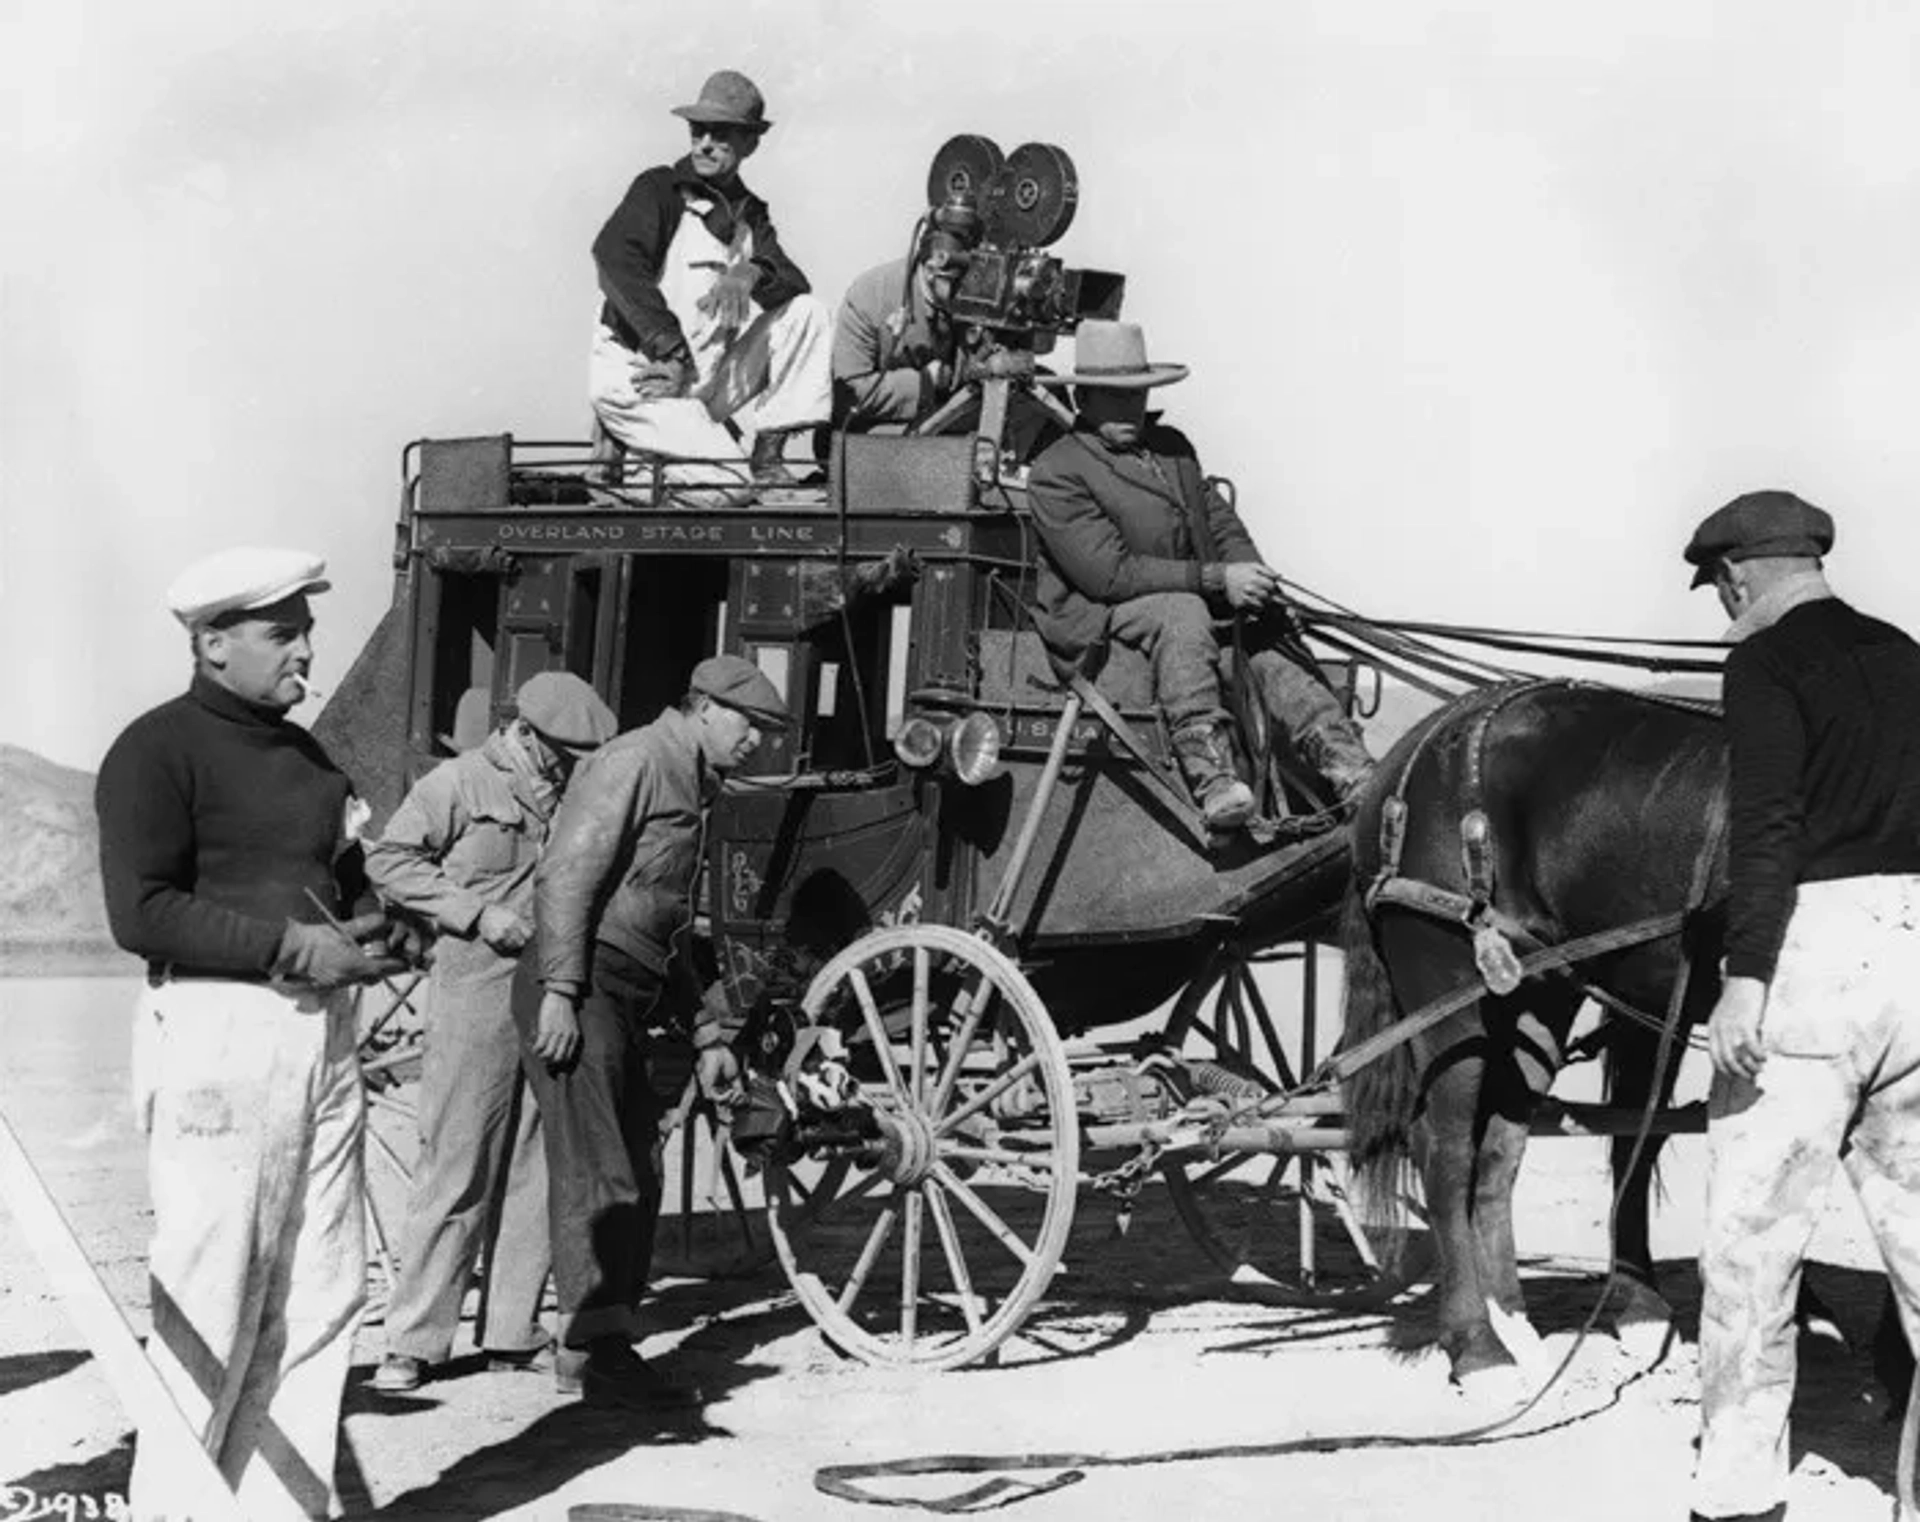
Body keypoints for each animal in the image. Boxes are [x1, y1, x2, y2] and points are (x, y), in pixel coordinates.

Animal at [1336, 683, 1728, 1381]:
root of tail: (1406, 756)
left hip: (1539, 998)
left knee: (1499, 1150)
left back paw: (1514, 1321)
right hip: (1446, 982)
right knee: (1445, 1150)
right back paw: (1477, 1347)